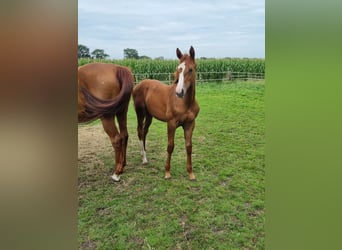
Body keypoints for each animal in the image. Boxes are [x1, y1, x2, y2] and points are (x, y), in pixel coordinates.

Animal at [132, 46, 199, 180]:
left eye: (190, 69)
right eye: (178, 69)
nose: (179, 92)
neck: (186, 103)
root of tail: (138, 85)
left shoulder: (190, 124)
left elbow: (189, 147)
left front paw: (191, 173)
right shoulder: (171, 123)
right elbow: (170, 146)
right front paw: (167, 172)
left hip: (149, 115)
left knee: (145, 131)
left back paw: (144, 153)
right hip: (140, 112)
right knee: (140, 131)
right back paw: (144, 158)